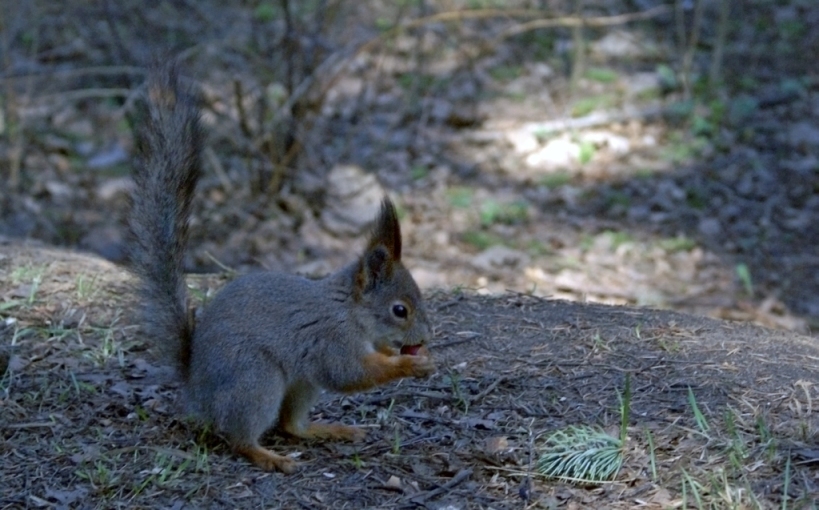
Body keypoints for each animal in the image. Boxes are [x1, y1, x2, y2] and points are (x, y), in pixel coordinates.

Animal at [126, 64, 436, 474]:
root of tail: (195, 388)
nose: (427, 336)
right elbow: (351, 374)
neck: (348, 310)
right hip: (257, 379)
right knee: (238, 436)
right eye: (400, 310)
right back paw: (268, 456)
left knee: (291, 426)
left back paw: (328, 430)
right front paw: (407, 365)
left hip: (301, 383)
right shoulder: (330, 340)